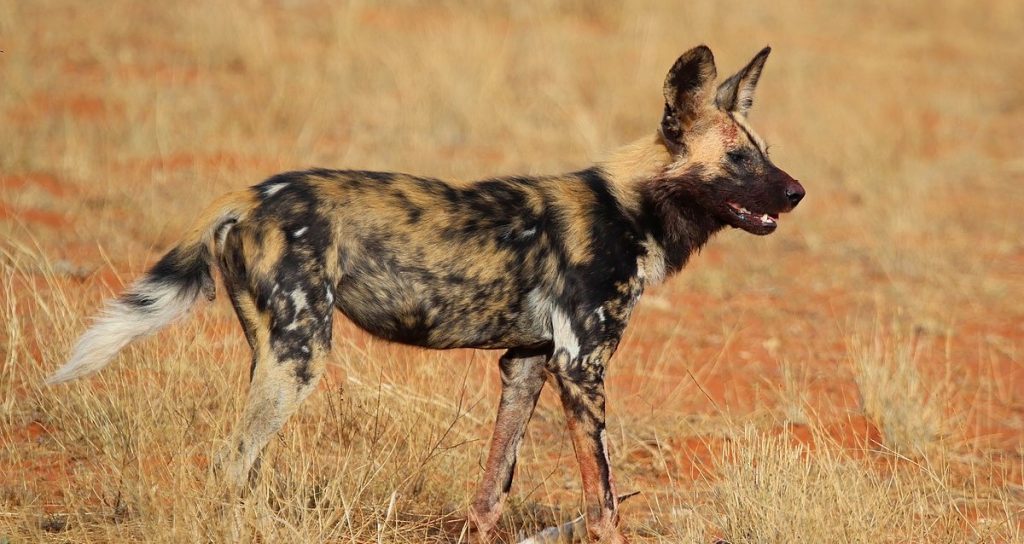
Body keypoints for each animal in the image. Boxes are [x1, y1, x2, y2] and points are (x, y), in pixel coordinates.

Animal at [46, 44, 798, 540]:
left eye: (765, 151)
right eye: (739, 160)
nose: (797, 192)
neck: (631, 206)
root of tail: (251, 193)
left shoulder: (527, 364)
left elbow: (492, 489)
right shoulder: (580, 367)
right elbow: (605, 503)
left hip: (273, 354)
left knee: (243, 464)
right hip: (301, 357)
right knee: (230, 464)